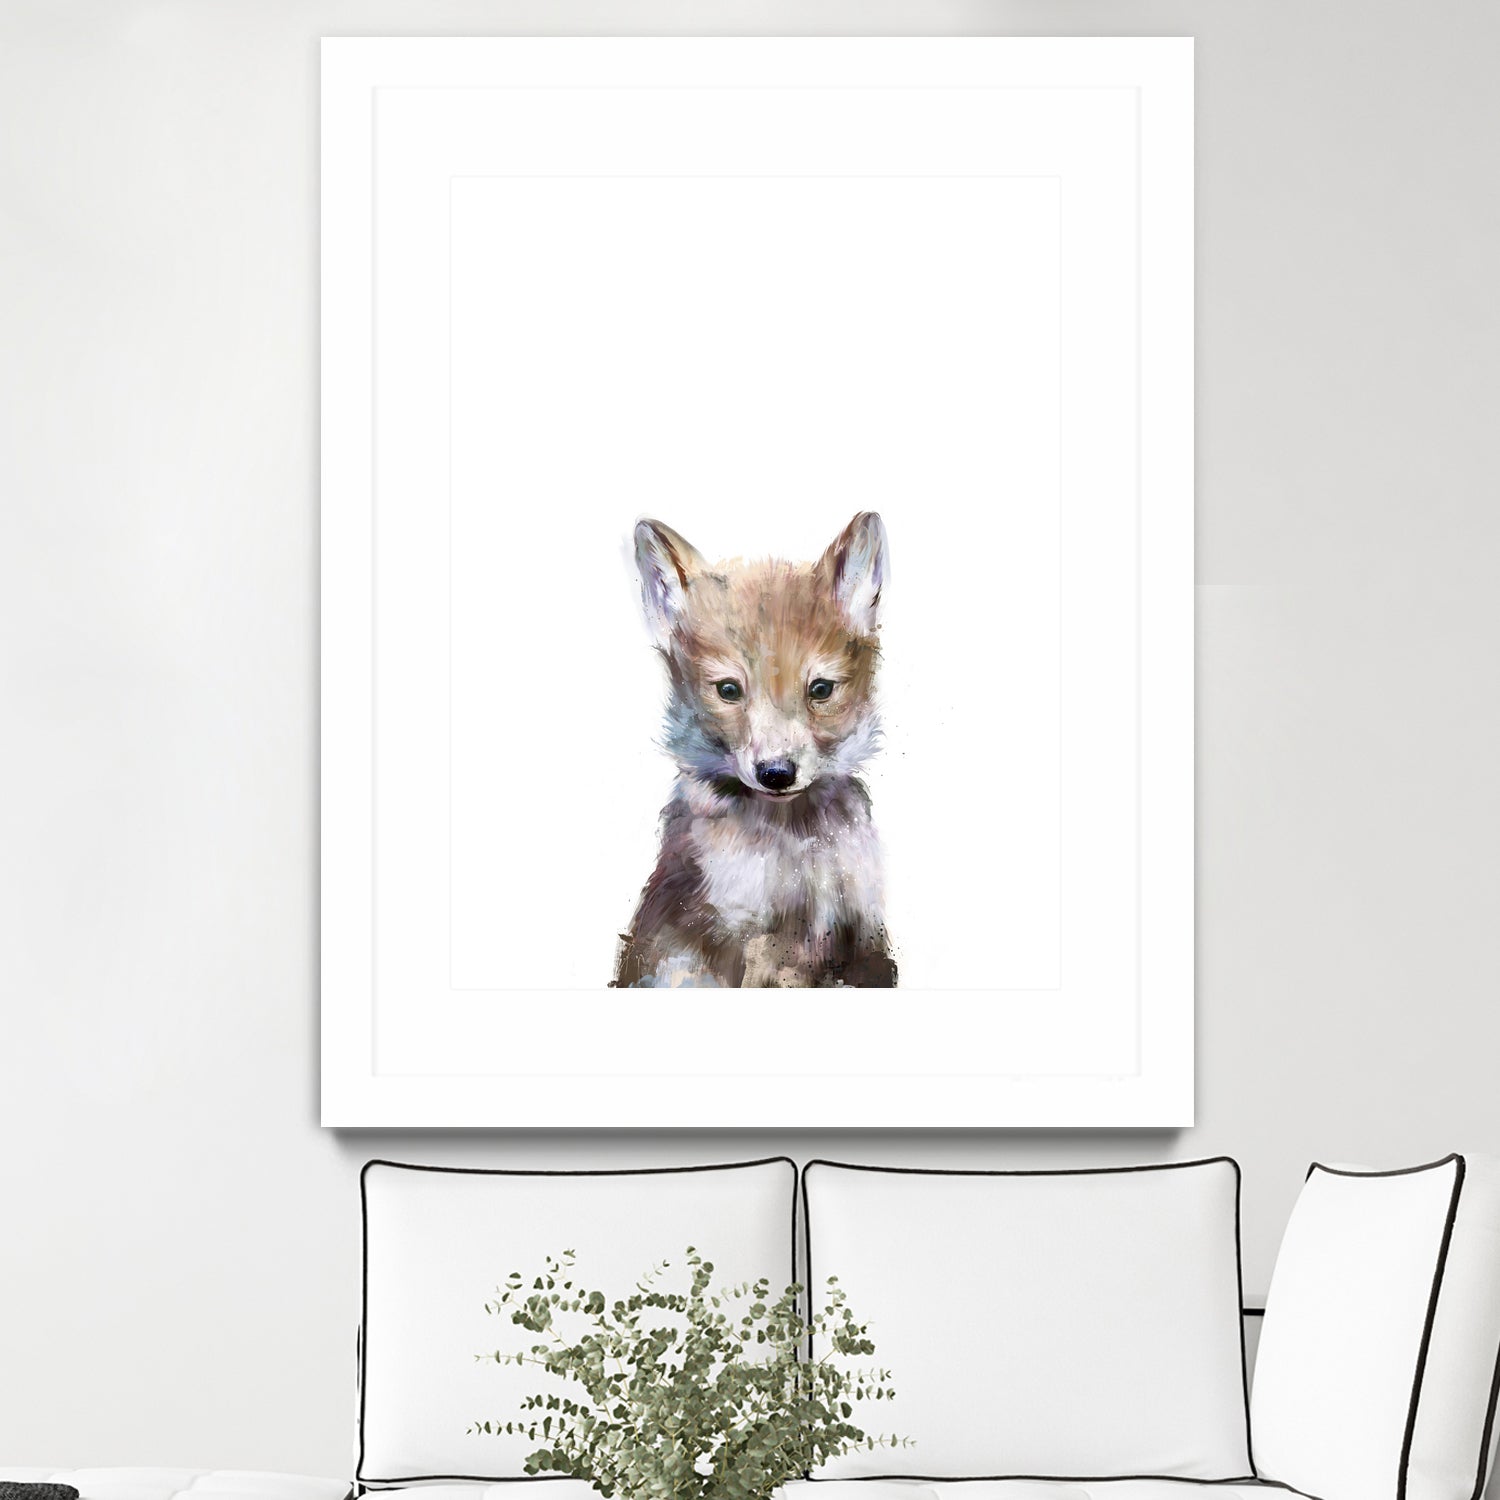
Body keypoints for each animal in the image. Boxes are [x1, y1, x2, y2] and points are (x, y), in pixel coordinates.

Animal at [612, 513, 897, 989]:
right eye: (729, 690)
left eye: (821, 689)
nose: (776, 774)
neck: (794, 847)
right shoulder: (744, 936)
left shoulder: (861, 933)